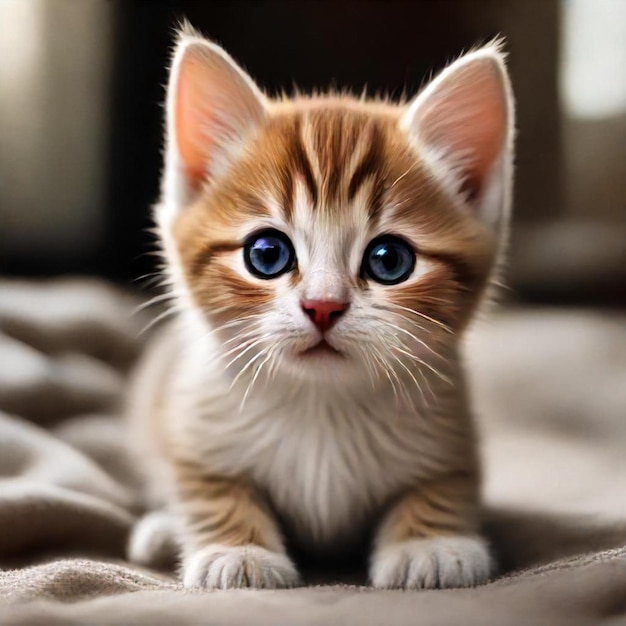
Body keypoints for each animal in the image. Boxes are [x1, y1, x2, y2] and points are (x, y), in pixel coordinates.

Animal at [127, 24, 512, 588]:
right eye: (267, 254)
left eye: (390, 260)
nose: (323, 306)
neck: (322, 404)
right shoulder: (192, 427)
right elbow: (208, 488)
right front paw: (237, 552)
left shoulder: (450, 431)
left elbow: (444, 483)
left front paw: (432, 544)